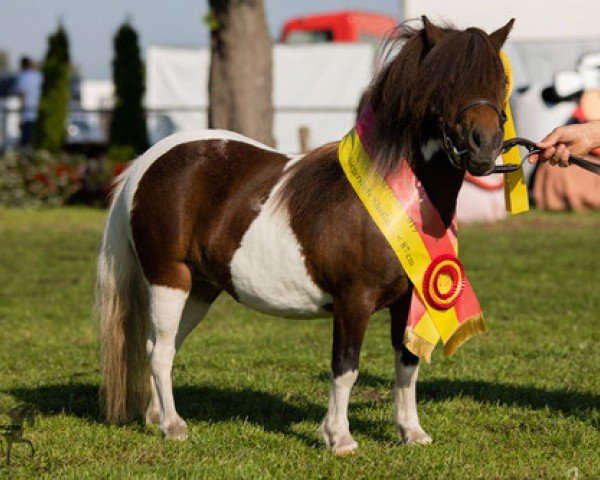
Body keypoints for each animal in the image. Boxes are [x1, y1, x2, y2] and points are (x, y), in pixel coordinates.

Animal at [96, 17, 512, 454]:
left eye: (500, 80)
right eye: (445, 81)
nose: (484, 148)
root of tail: (146, 162)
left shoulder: (409, 300)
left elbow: (407, 364)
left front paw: (411, 432)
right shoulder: (353, 300)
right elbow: (345, 368)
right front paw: (339, 437)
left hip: (201, 288)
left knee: (164, 346)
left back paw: (155, 417)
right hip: (169, 278)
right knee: (159, 351)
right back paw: (173, 425)